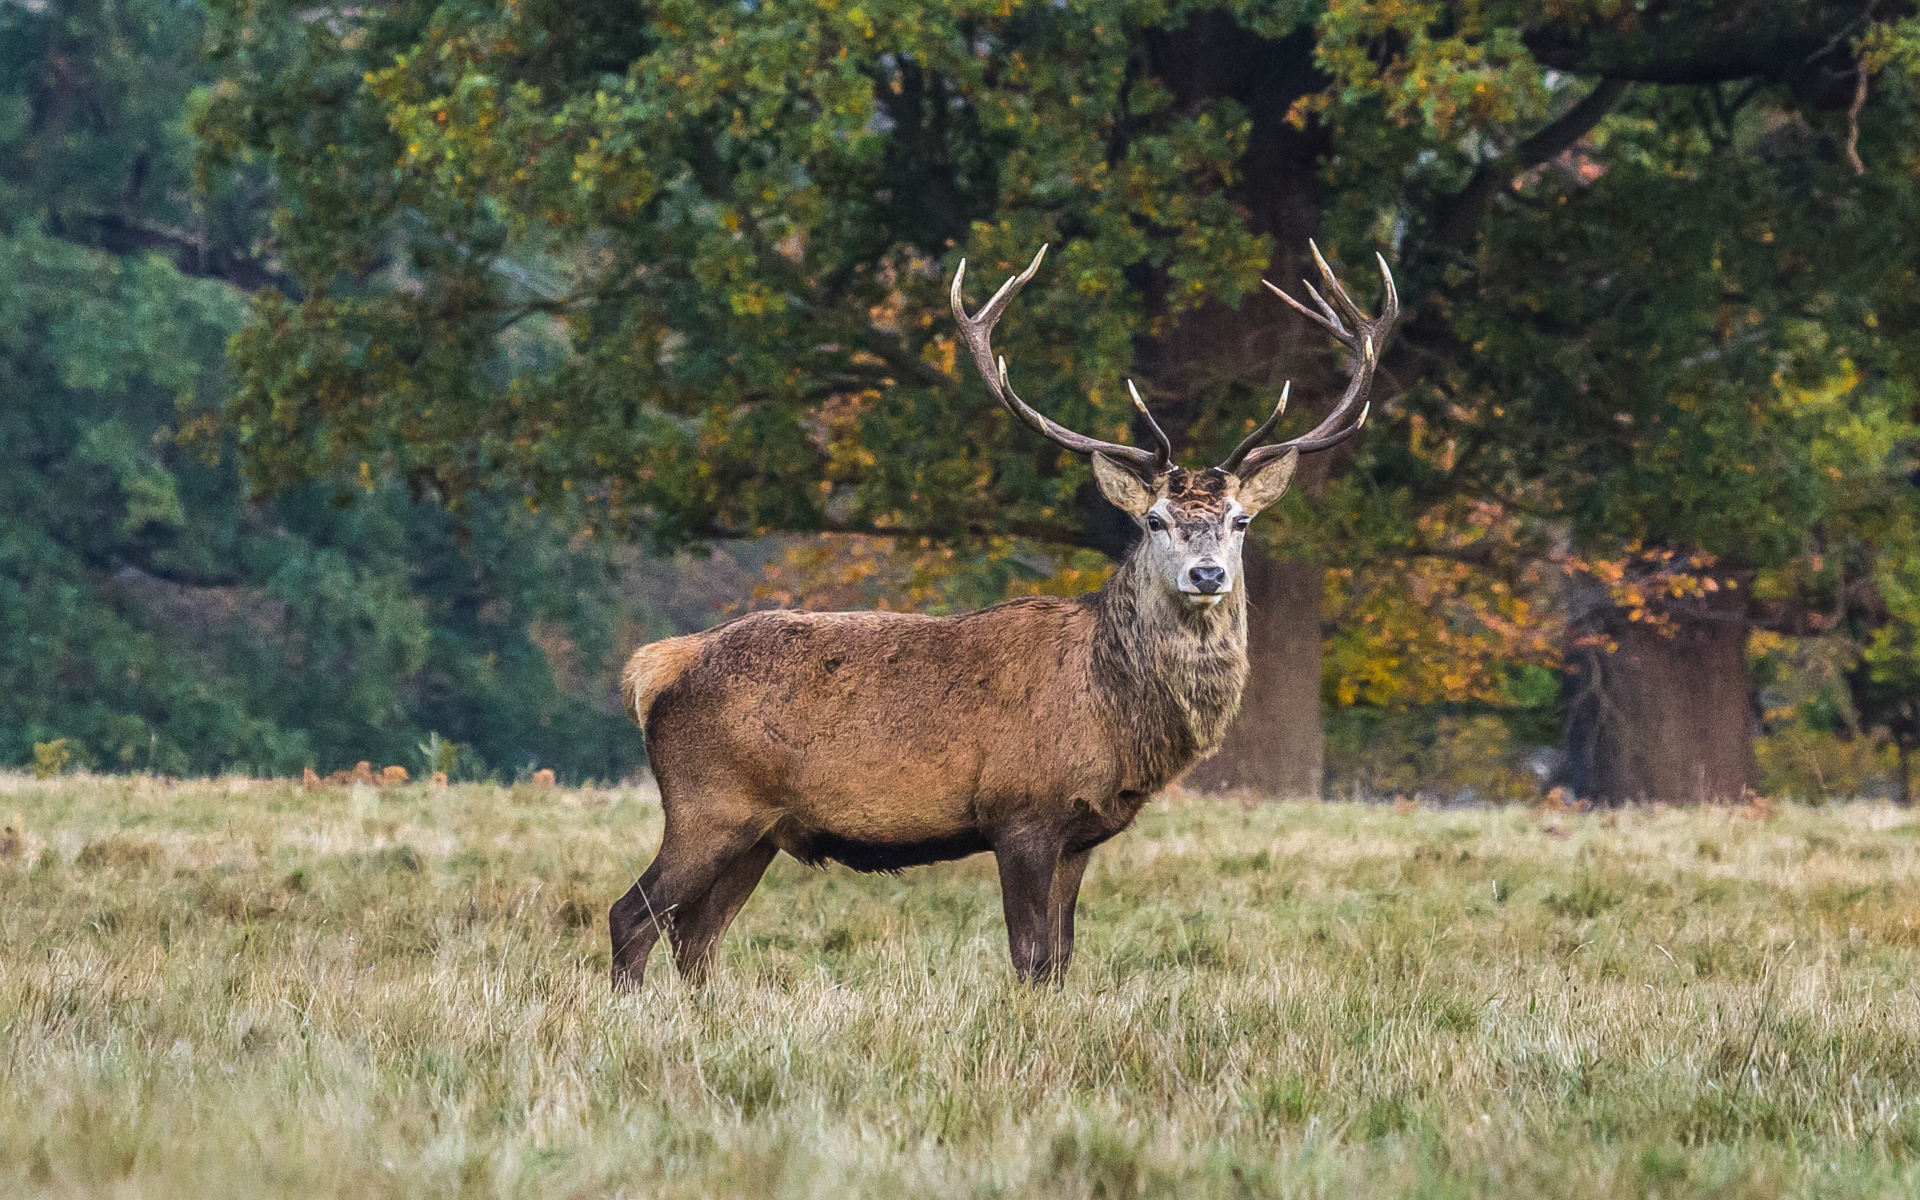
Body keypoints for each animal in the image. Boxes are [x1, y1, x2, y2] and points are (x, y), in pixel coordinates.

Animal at [611, 243, 1397, 988]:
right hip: (708, 804)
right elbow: (1029, 954)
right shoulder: (1020, 812)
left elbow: (1062, 958)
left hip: (763, 830)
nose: (1207, 575)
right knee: (633, 914)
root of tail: (656, 668)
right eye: (1154, 521)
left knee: (696, 935)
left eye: (1239, 520)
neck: (1112, 712)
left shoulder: (1081, 831)